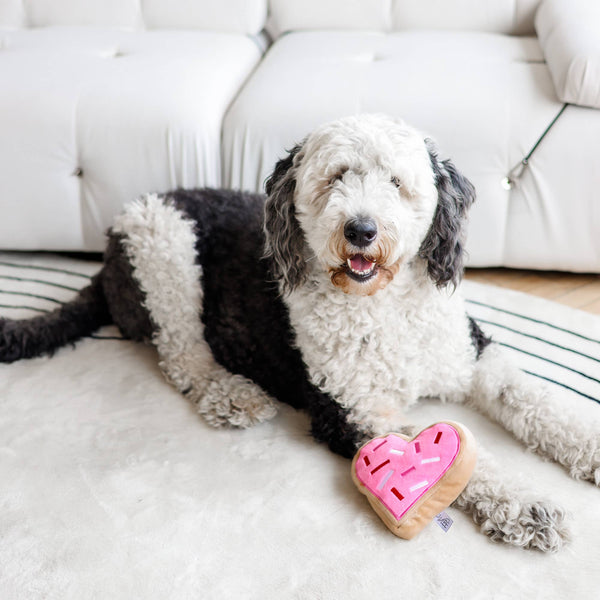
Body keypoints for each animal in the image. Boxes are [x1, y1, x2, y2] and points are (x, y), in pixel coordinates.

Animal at [2, 115, 596, 552]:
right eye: (336, 177)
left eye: (397, 183)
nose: (361, 229)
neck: (382, 308)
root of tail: (104, 259)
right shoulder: (350, 409)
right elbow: (460, 462)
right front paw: (524, 504)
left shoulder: (473, 358)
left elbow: (536, 401)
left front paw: (585, 446)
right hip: (162, 247)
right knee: (182, 357)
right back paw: (231, 394)